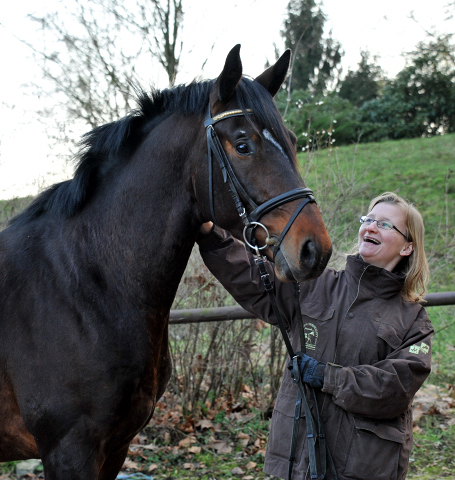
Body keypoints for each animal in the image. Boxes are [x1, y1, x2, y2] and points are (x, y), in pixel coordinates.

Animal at [0, 46, 332, 480]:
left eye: (292, 141)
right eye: (243, 144)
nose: (314, 249)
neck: (82, 286)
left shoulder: (116, 447)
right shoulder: (68, 451)